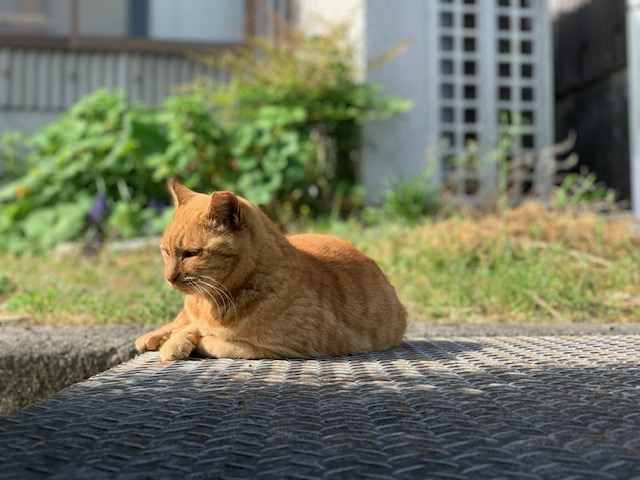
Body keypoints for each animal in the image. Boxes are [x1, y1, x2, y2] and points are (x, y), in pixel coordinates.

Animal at [136, 180, 408, 360]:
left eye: (191, 254)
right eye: (166, 252)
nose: (169, 277)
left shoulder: (281, 348)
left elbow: (214, 340)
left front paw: (185, 342)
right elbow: (189, 324)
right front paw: (169, 337)